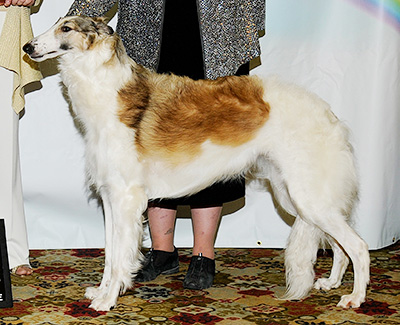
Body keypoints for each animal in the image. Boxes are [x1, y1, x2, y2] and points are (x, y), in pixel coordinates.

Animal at [24, 16, 368, 310]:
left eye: (66, 28)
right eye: (57, 24)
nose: (28, 46)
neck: (107, 91)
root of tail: (329, 114)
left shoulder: (125, 198)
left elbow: (120, 256)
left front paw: (107, 301)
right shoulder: (110, 196)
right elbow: (110, 255)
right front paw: (101, 291)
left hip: (308, 198)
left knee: (359, 246)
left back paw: (355, 298)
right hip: (296, 198)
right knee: (340, 245)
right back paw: (332, 283)